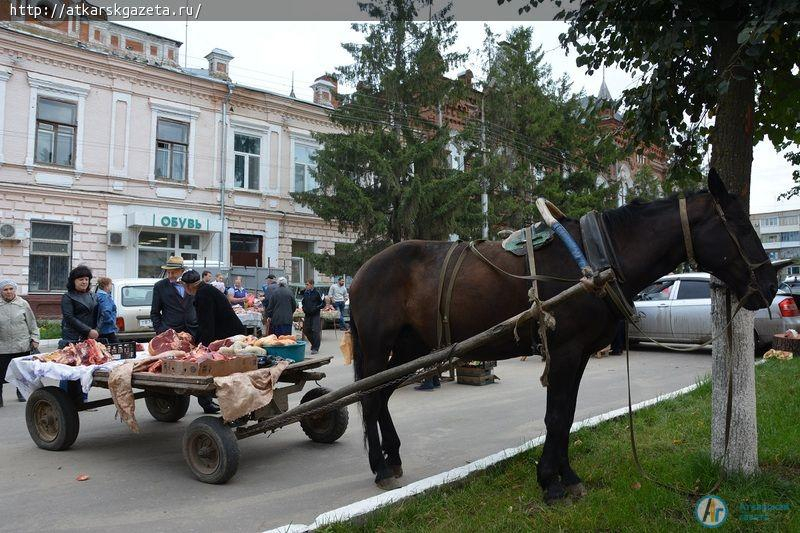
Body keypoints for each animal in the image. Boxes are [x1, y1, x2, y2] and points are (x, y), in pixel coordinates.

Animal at [348, 168, 776, 500]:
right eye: (740, 225)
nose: (771, 287)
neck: (594, 260)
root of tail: (362, 271)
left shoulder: (580, 354)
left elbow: (567, 414)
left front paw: (566, 477)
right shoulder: (564, 351)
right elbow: (556, 415)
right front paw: (549, 483)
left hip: (410, 349)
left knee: (381, 396)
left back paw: (392, 458)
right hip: (378, 349)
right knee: (368, 399)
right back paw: (380, 466)